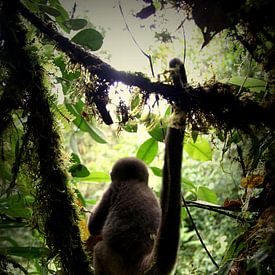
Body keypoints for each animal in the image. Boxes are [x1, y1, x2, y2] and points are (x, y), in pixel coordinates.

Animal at [88, 58, 188, 275]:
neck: (135, 180)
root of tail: (143, 262)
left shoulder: (113, 187)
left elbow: (94, 226)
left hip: (118, 265)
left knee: (100, 248)